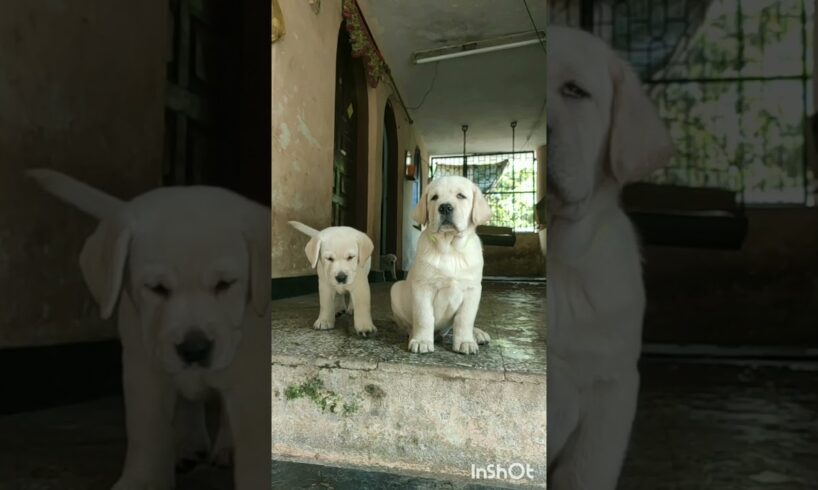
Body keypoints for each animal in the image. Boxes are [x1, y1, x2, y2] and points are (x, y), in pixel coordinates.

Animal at [27, 168, 270, 490]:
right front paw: (141, 480)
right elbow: (147, 434)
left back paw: (223, 447)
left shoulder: (253, 377)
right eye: (156, 288)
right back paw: (188, 444)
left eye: (225, 284)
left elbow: (255, 445)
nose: (194, 349)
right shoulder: (143, 369)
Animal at [388, 176, 490, 356]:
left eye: (461, 196)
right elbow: (424, 317)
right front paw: (422, 341)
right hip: (396, 289)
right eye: (434, 198)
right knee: (409, 324)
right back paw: (413, 334)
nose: (445, 207)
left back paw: (477, 334)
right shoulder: (423, 287)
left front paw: (465, 341)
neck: (450, 249)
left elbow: (464, 319)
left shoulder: (473, 289)